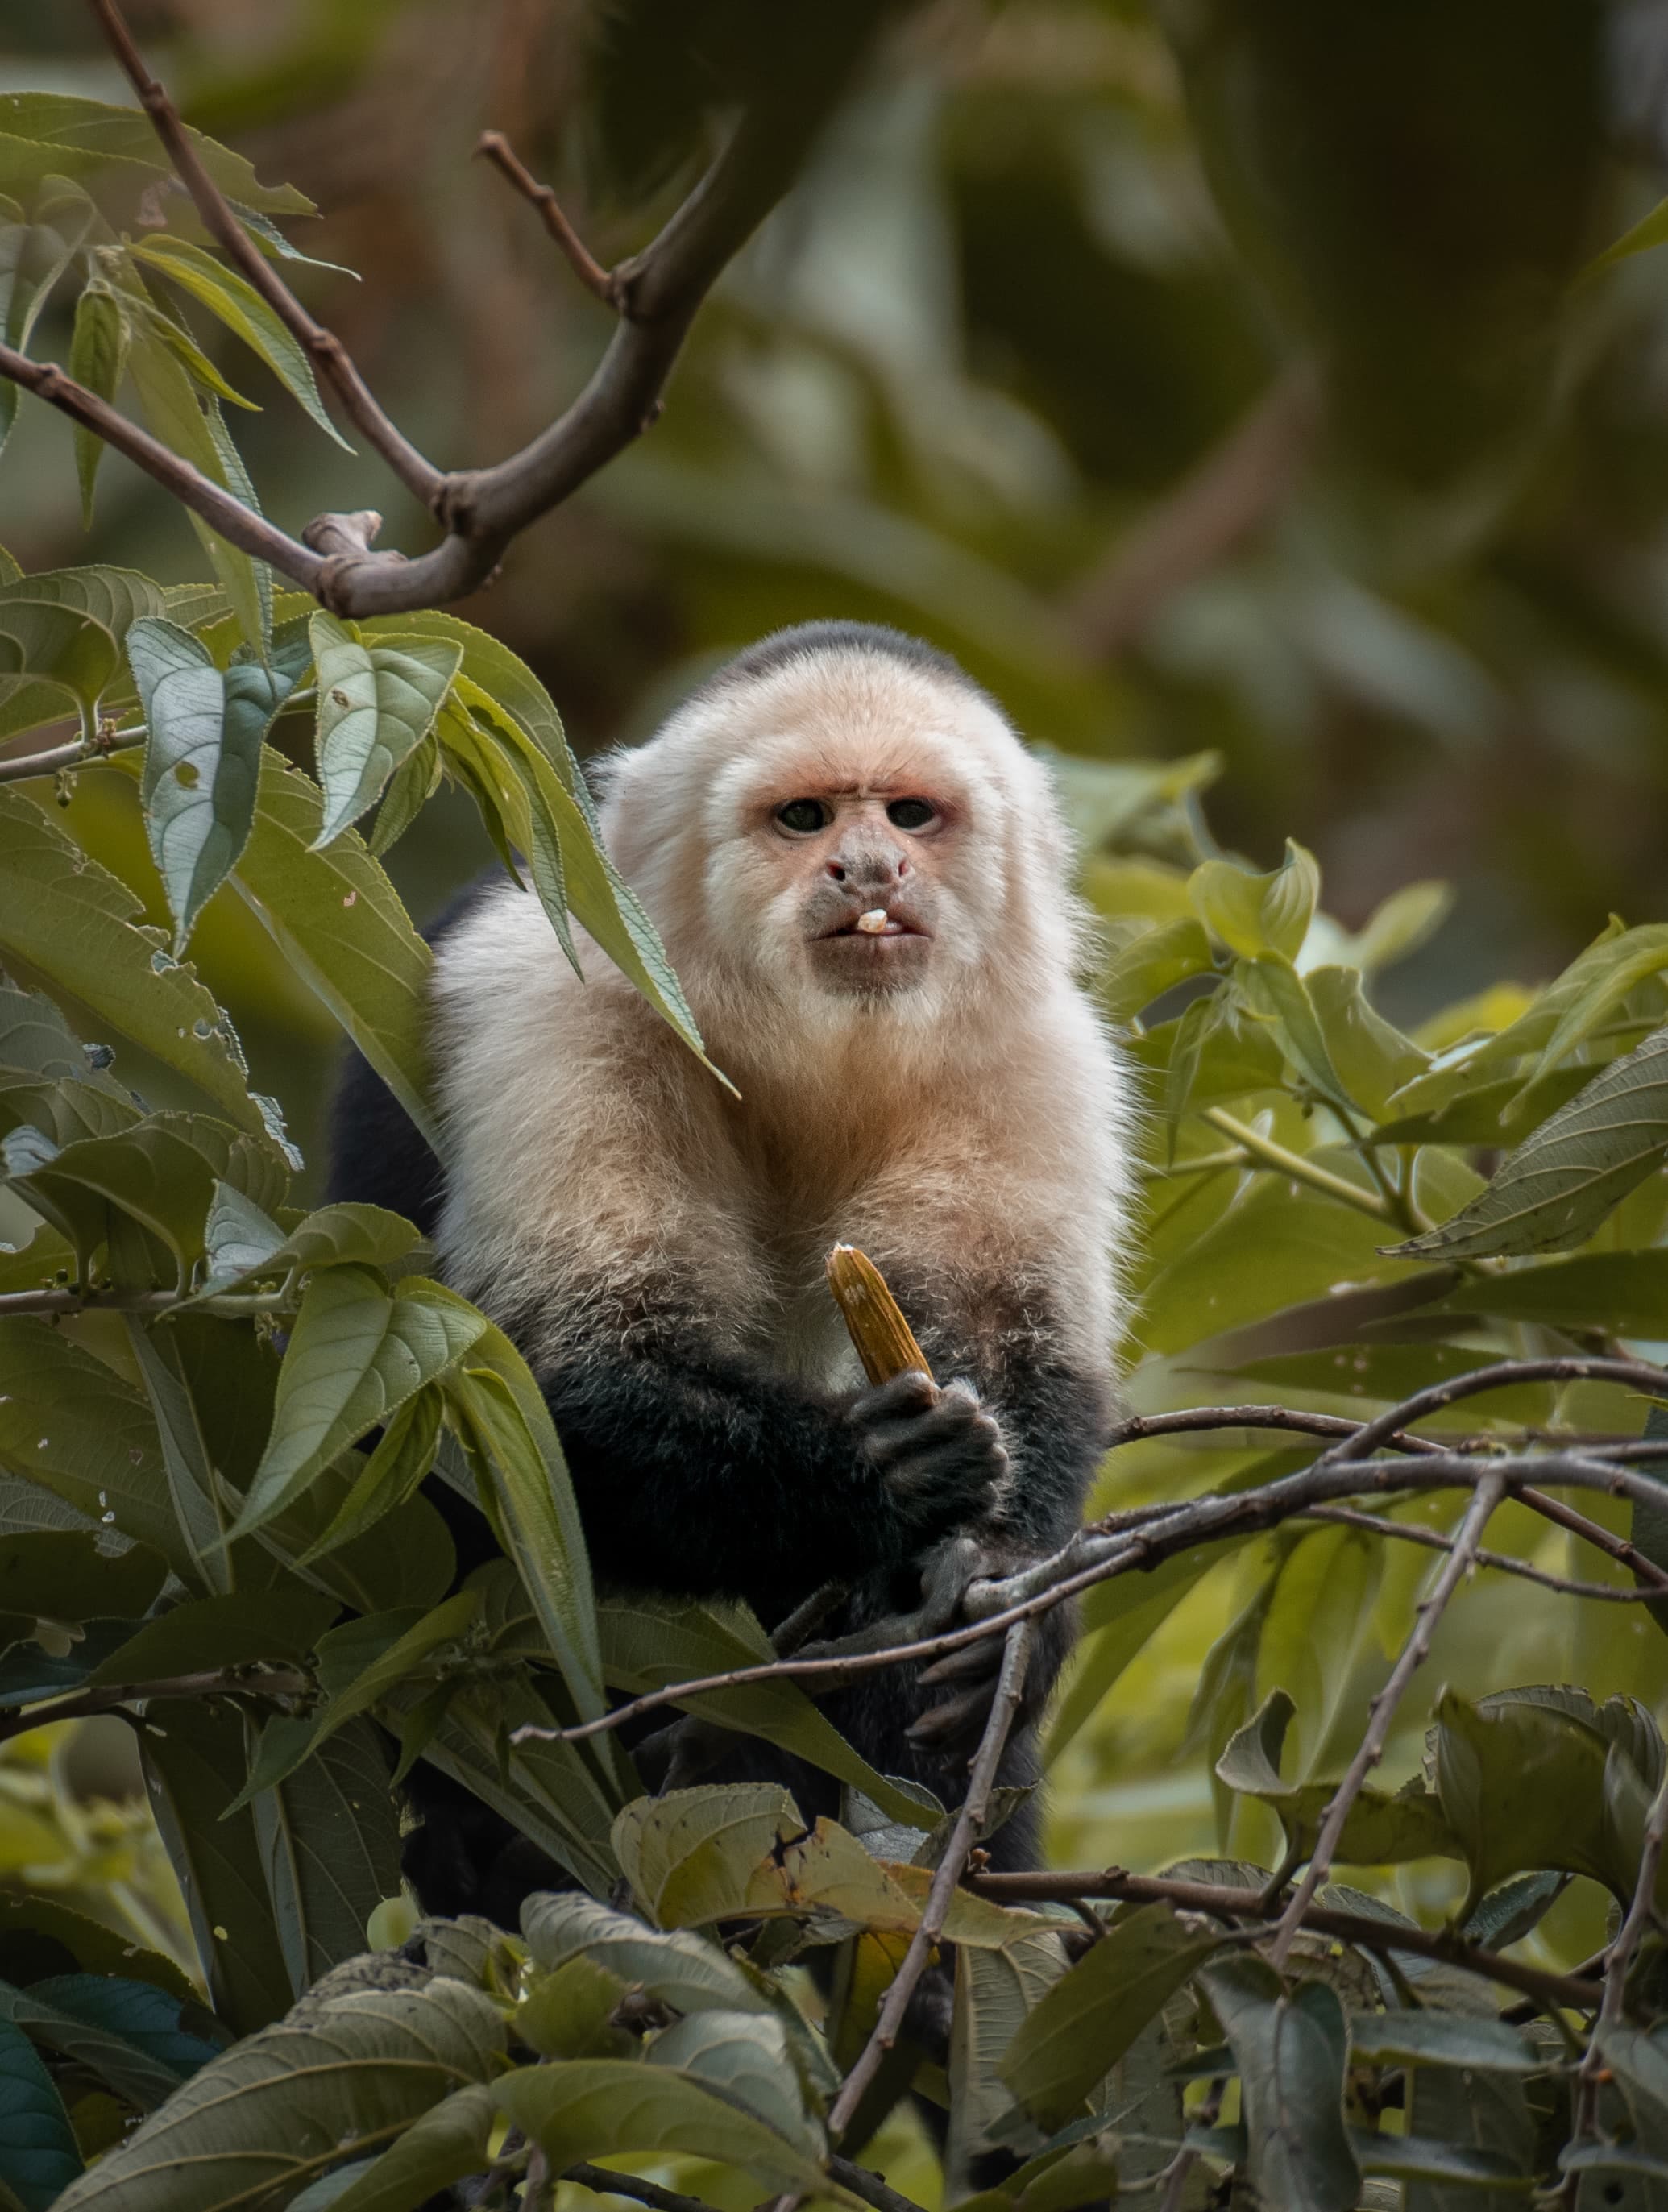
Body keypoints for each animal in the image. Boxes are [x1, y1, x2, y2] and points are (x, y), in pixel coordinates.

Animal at [327, 619, 1132, 1919]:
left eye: (910, 815)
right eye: (803, 819)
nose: (870, 870)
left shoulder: (1033, 1049)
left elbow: (1022, 1342)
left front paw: (1003, 1591)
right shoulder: (560, 1007)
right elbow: (552, 1387)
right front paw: (879, 1472)